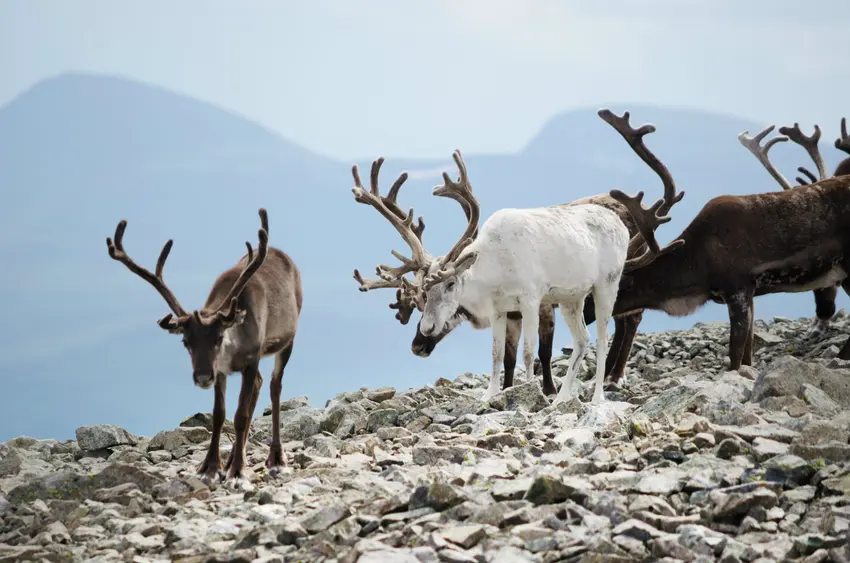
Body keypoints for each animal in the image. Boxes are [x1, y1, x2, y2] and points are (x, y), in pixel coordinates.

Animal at [105, 208, 303, 485]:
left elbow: (240, 415)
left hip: (287, 341)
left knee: (275, 388)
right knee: (260, 385)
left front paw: (238, 472)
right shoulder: (220, 370)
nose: (201, 377)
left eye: (218, 338)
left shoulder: (252, 358)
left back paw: (276, 460)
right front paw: (210, 467)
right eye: (185, 341)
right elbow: (219, 415)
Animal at [351, 110, 683, 395]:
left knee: (624, 322)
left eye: (451, 285)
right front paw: (500, 392)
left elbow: (536, 352)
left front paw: (541, 390)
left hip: (615, 280)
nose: (419, 342)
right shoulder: (505, 312)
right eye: (420, 295)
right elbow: (502, 355)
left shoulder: (538, 302)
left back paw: (610, 379)